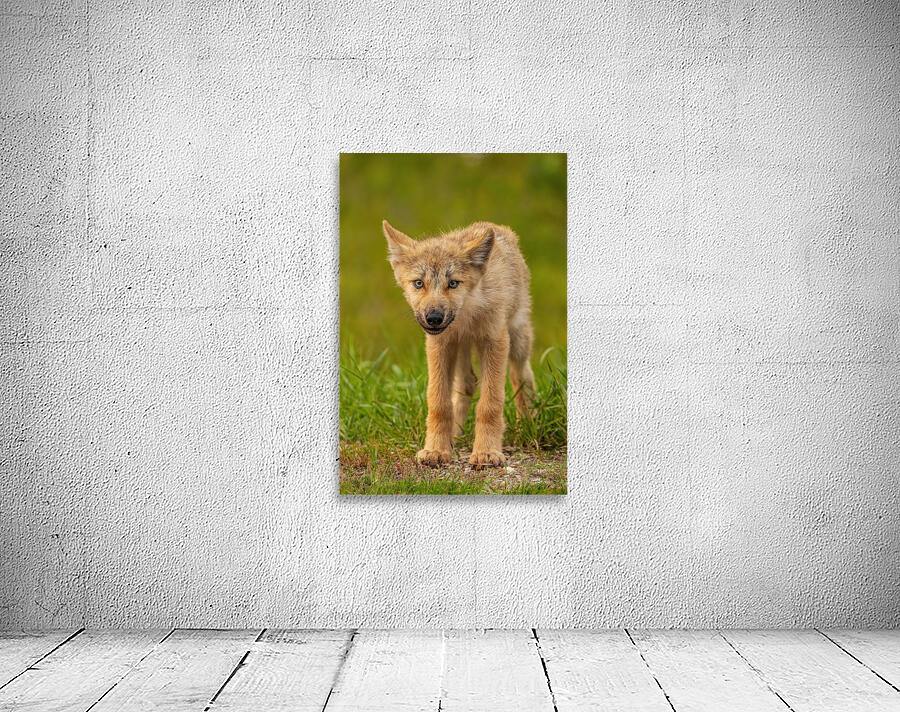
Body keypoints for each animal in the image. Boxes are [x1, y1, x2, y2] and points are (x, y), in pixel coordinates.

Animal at [382, 220, 536, 468]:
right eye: (419, 283)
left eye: (453, 283)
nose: (434, 317)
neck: (468, 316)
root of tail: (493, 225)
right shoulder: (440, 344)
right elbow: (439, 403)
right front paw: (436, 449)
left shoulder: (495, 342)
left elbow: (490, 404)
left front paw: (487, 452)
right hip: (461, 348)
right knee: (467, 383)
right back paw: (455, 436)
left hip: (518, 340)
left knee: (522, 377)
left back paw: (528, 424)